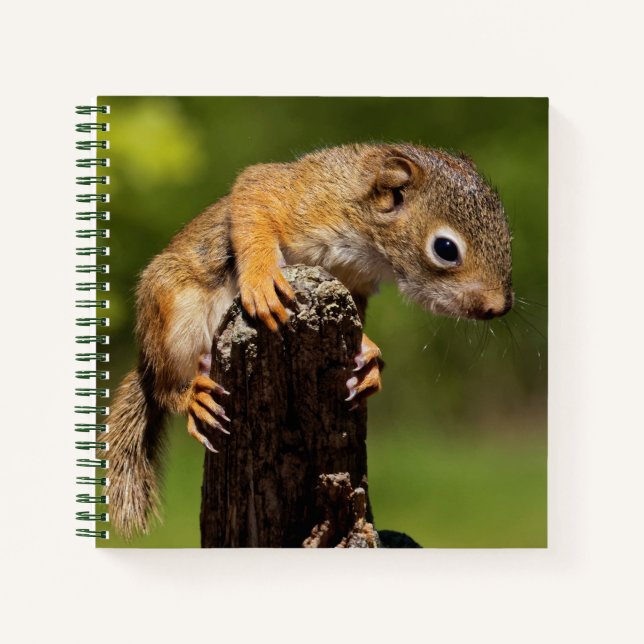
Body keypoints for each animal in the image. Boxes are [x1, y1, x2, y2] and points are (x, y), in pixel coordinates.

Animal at [102, 143, 513, 538]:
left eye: (507, 236)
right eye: (445, 248)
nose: (499, 307)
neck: (369, 241)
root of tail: (146, 360)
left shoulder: (354, 281)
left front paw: (369, 358)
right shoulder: (302, 196)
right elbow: (255, 197)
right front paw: (262, 279)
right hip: (173, 313)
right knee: (164, 387)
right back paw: (191, 395)